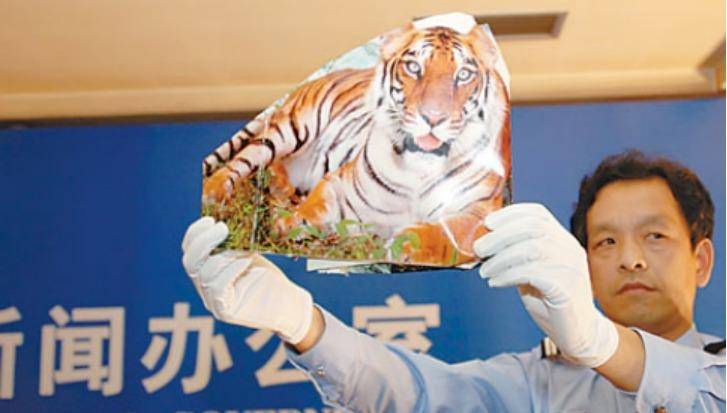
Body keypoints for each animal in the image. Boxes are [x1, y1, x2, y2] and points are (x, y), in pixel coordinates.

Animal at [202, 18, 511, 266]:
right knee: (245, 160)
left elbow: (447, 234)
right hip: (292, 127)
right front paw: (286, 225)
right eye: (413, 68)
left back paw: (281, 189)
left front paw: (402, 246)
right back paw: (216, 193)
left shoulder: (482, 211)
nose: (433, 117)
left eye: (464, 74)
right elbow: (312, 210)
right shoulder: (340, 184)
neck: (419, 170)